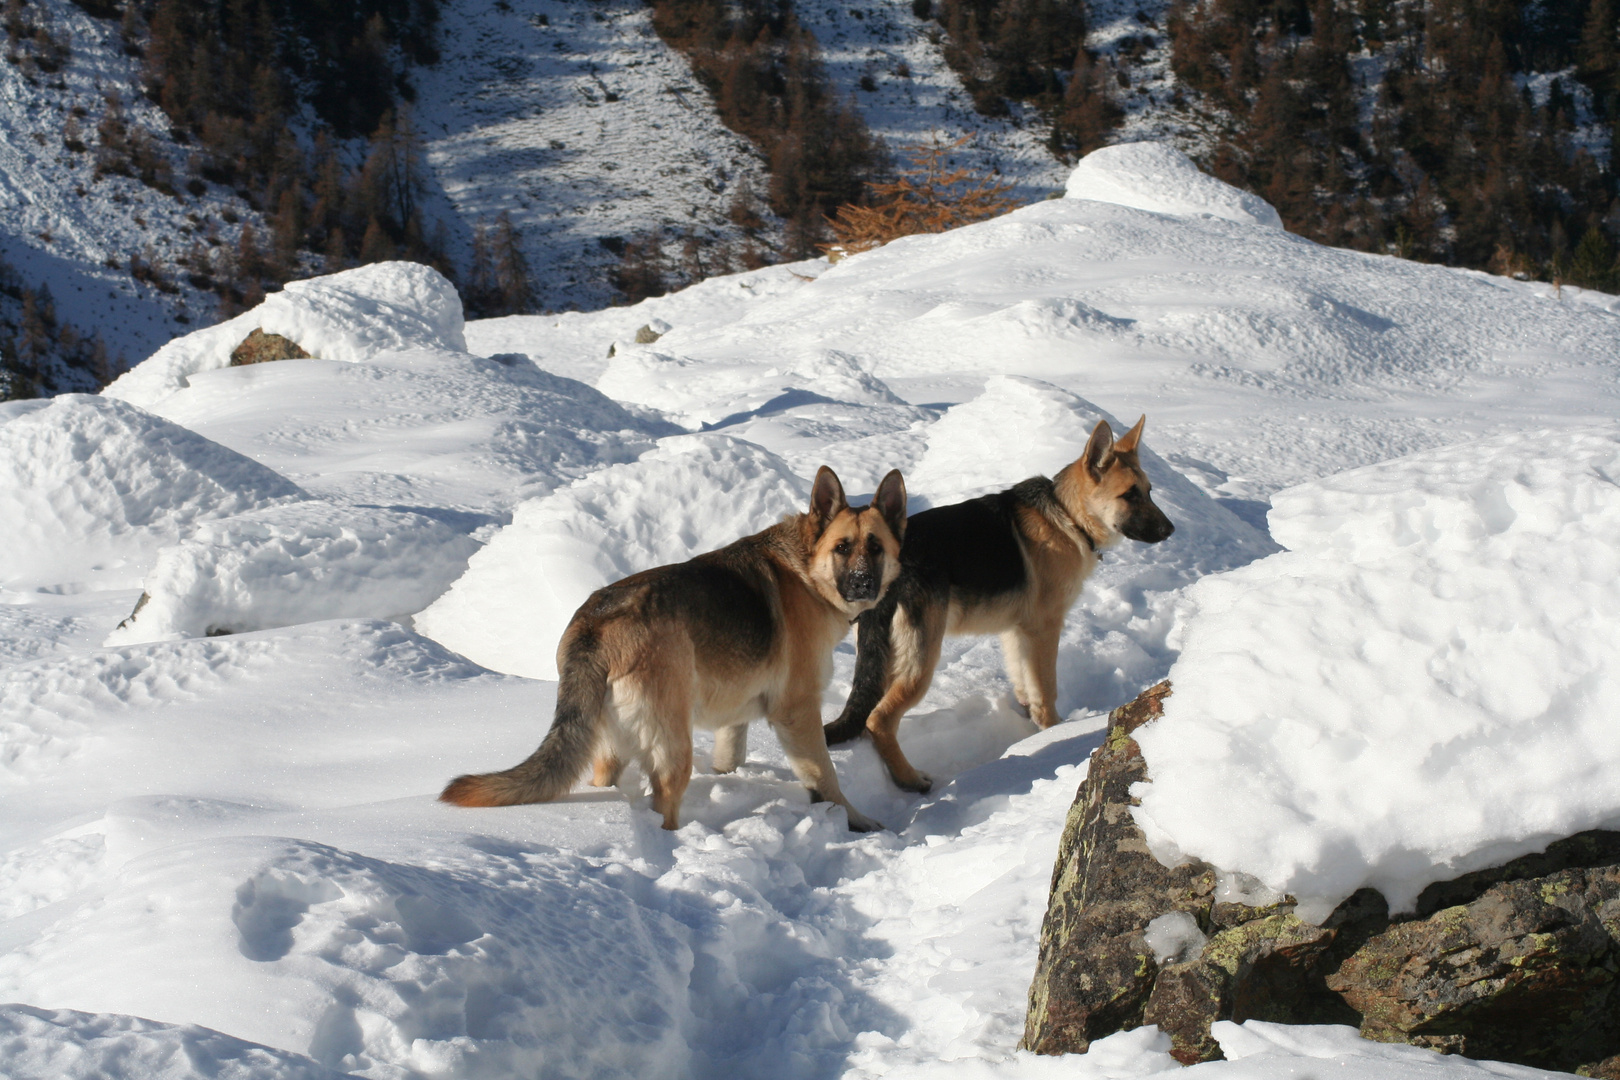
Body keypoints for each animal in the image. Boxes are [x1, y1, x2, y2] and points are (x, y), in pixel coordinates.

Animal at [437, 469, 907, 835]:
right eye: (843, 548)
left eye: (876, 548)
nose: (863, 583)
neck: (807, 566)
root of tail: (595, 623)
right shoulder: (798, 713)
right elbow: (825, 776)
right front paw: (852, 820)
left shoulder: (737, 716)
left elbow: (730, 756)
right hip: (673, 746)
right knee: (664, 800)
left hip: (609, 747)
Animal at [829, 417, 1172, 790]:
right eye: (1130, 495)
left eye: (1150, 491)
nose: (1170, 530)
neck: (1066, 515)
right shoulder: (1045, 629)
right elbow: (1046, 688)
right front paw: (1055, 731)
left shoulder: (1016, 631)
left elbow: (1024, 681)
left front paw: (1032, 724)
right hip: (921, 662)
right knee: (878, 719)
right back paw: (910, 780)